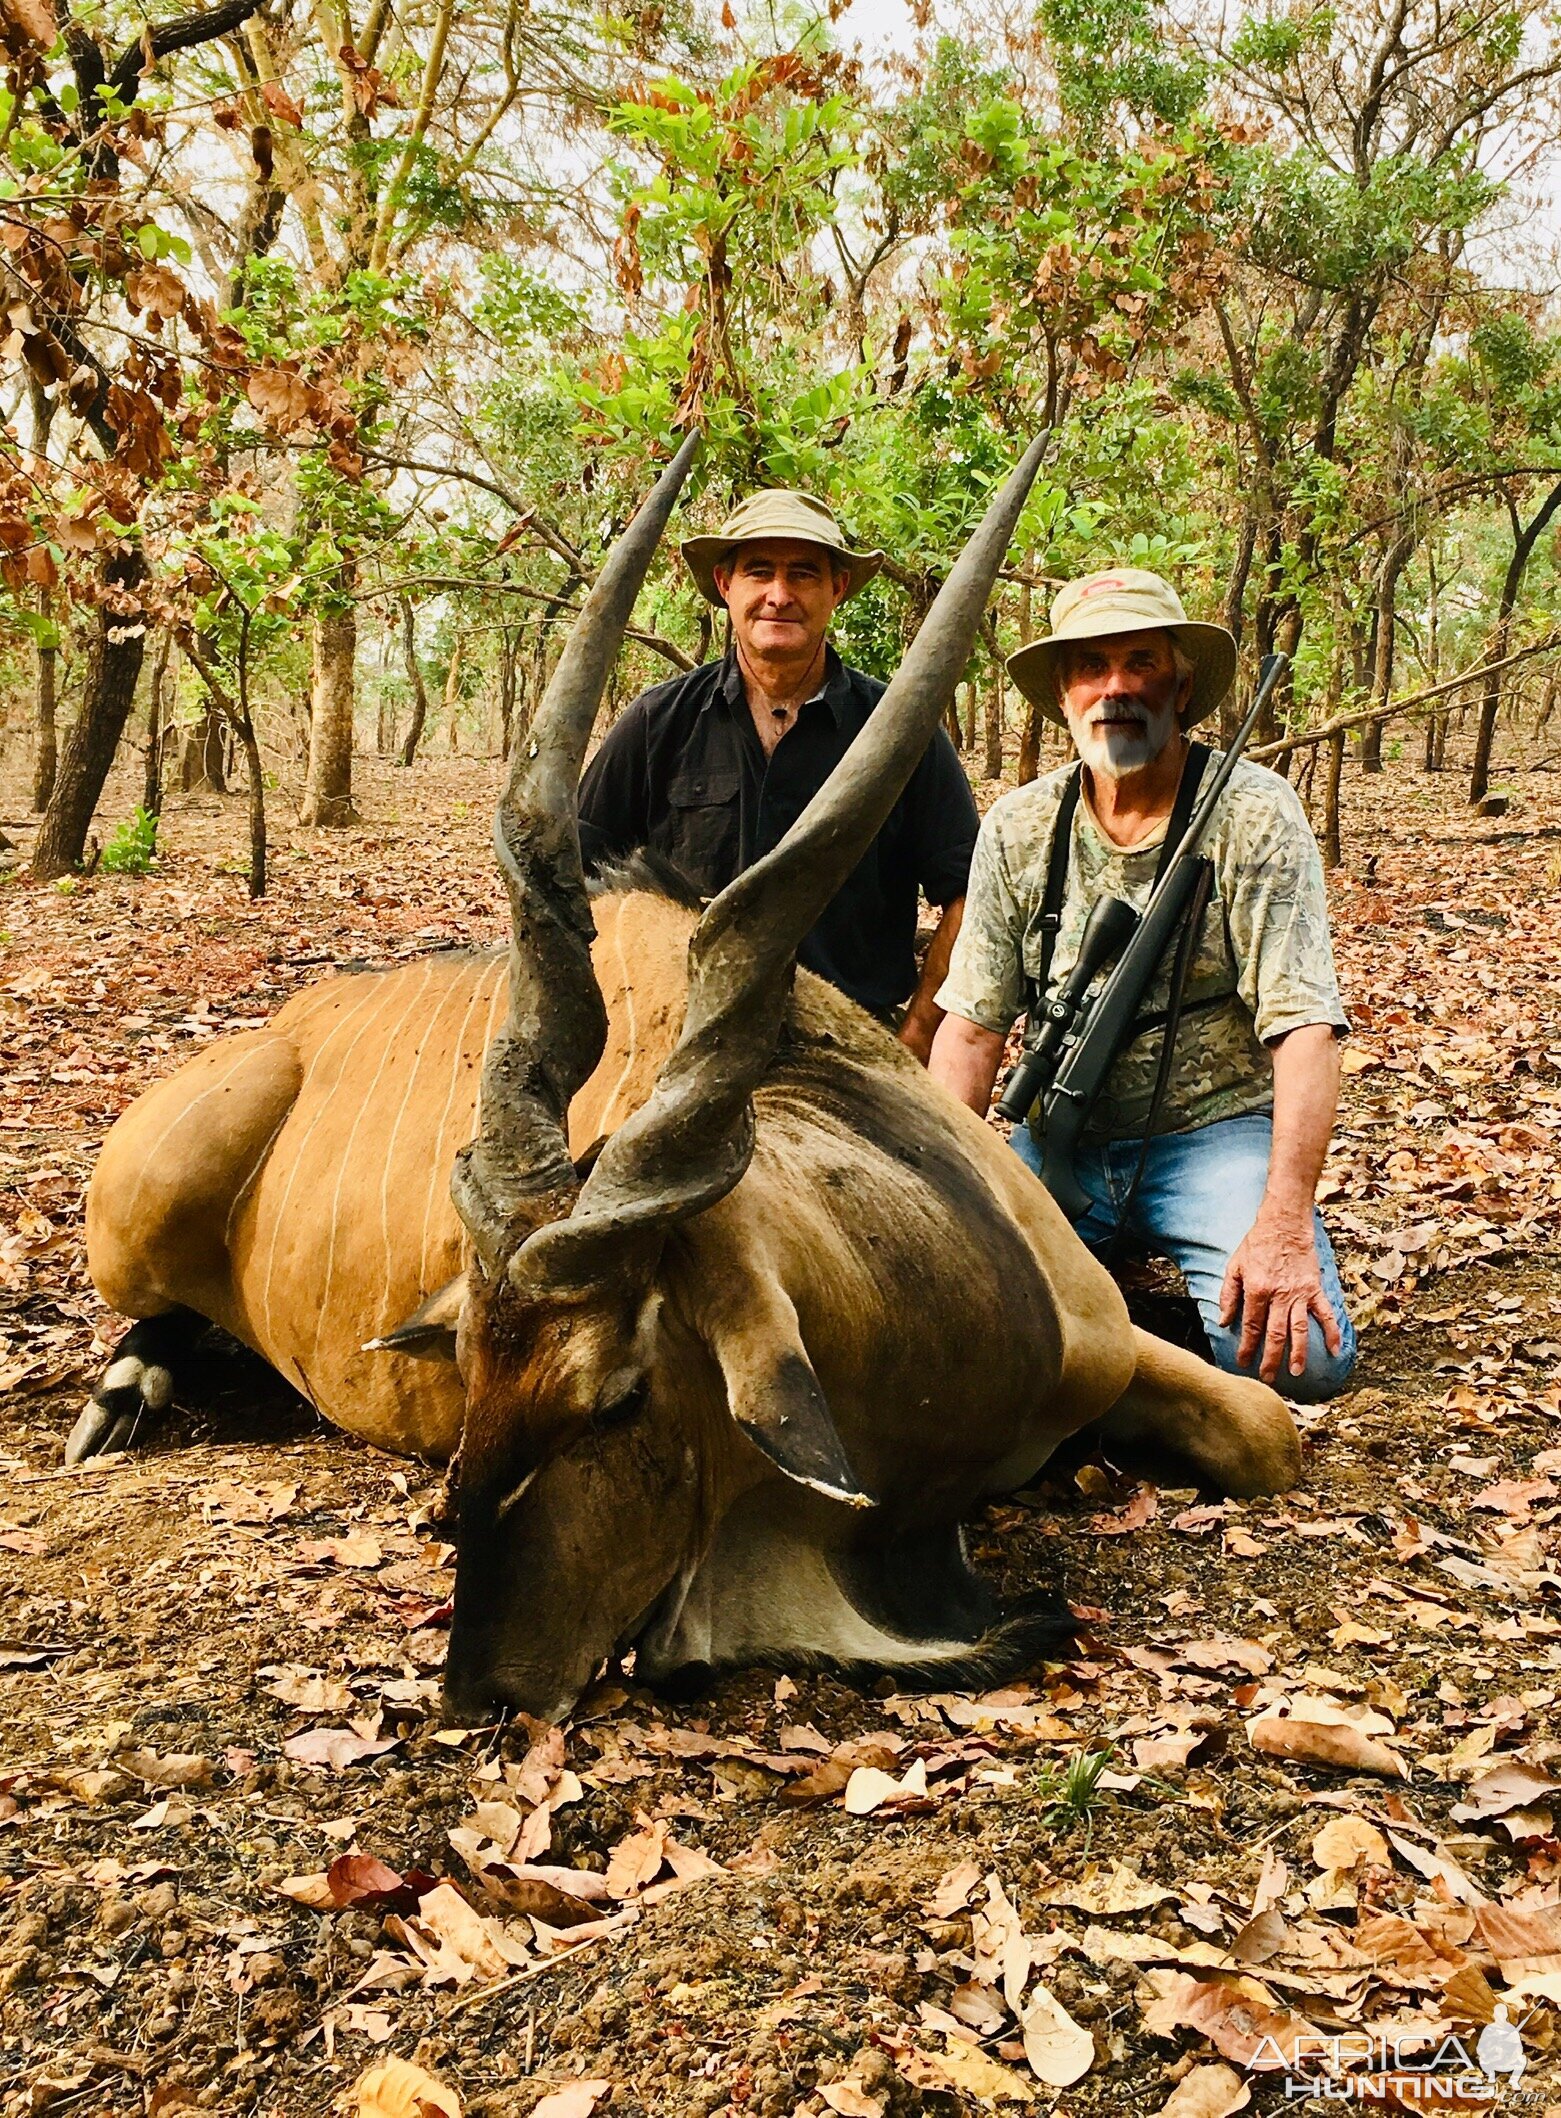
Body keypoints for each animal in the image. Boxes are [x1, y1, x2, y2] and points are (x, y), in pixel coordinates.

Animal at [76, 442, 1304, 1719]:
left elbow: (1270, 1432)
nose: (486, 1685)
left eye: (617, 1399)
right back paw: (123, 1393)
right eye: (468, 1373)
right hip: (136, 1220)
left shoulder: (1112, 1347)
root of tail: (277, 1030)